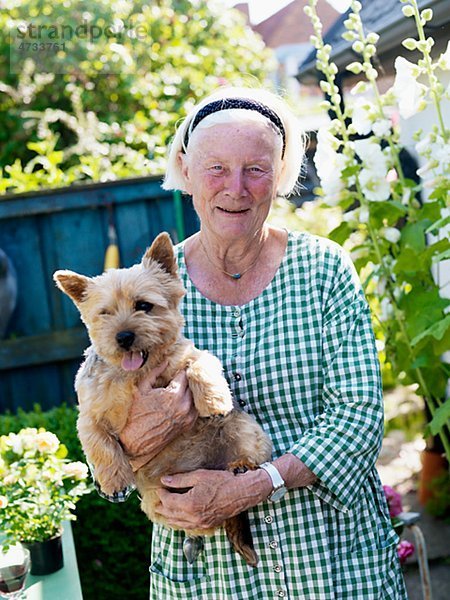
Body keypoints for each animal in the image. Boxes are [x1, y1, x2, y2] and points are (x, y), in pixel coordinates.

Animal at [52, 232, 270, 564]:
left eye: (144, 305)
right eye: (105, 313)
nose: (123, 337)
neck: (136, 373)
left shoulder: (193, 355)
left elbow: (198, 366)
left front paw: (214, 401)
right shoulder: (88, 414)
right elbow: (99, 443)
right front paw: (113, 480)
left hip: (245, 430)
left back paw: (241, 466)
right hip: (157, 500)